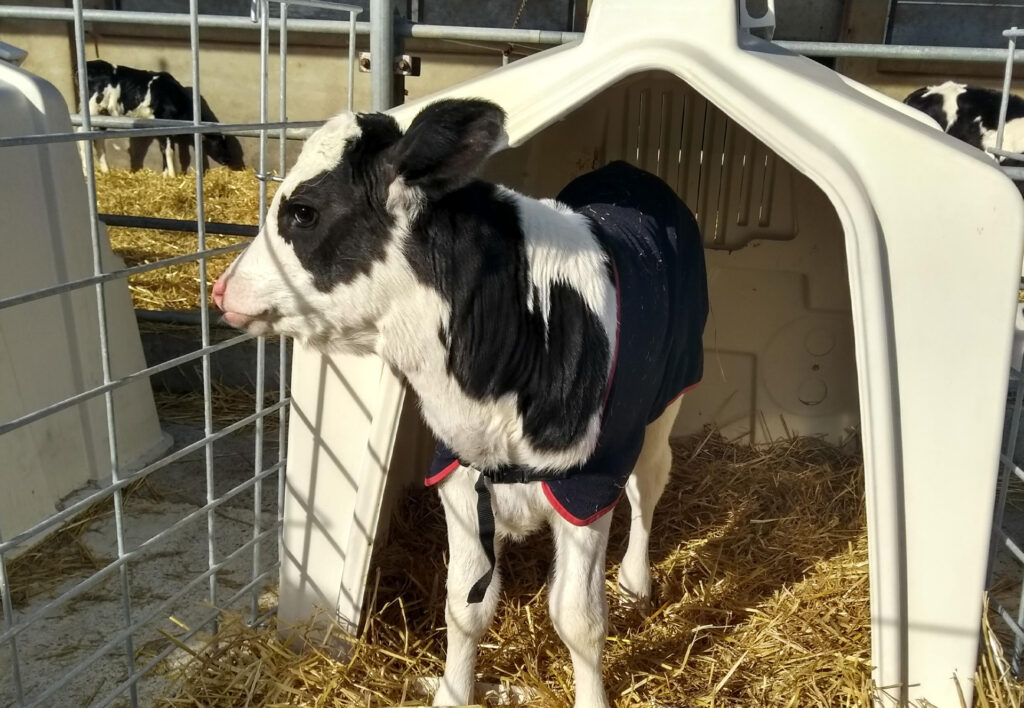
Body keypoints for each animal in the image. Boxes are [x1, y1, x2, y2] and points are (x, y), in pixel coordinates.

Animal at [211, 99, 708, 708]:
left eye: (303, 212)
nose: (221, 289)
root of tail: (631, 171)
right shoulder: (457, 474)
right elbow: (464, 609)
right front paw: (453, 691)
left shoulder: (585, 488)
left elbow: (580, 619)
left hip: (666, 400)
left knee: (648, 484)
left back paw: (637, 581)